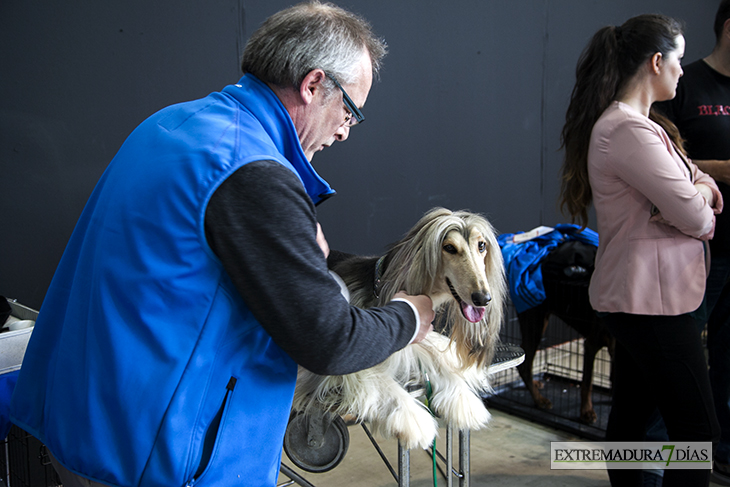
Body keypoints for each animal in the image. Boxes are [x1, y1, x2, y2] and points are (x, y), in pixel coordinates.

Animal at [290, 207, 506, 450]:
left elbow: (431, 352)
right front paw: (411, 415)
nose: (483, 298)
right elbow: (374, 375)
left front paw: (461, 395)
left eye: (482, 246)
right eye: (449, 247)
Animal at [516, 242, 612, 426]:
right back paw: (539, 400)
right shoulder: (591, 344)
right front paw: (586, 412)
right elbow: (587, 382)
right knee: (524, 364)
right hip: (535, 322)